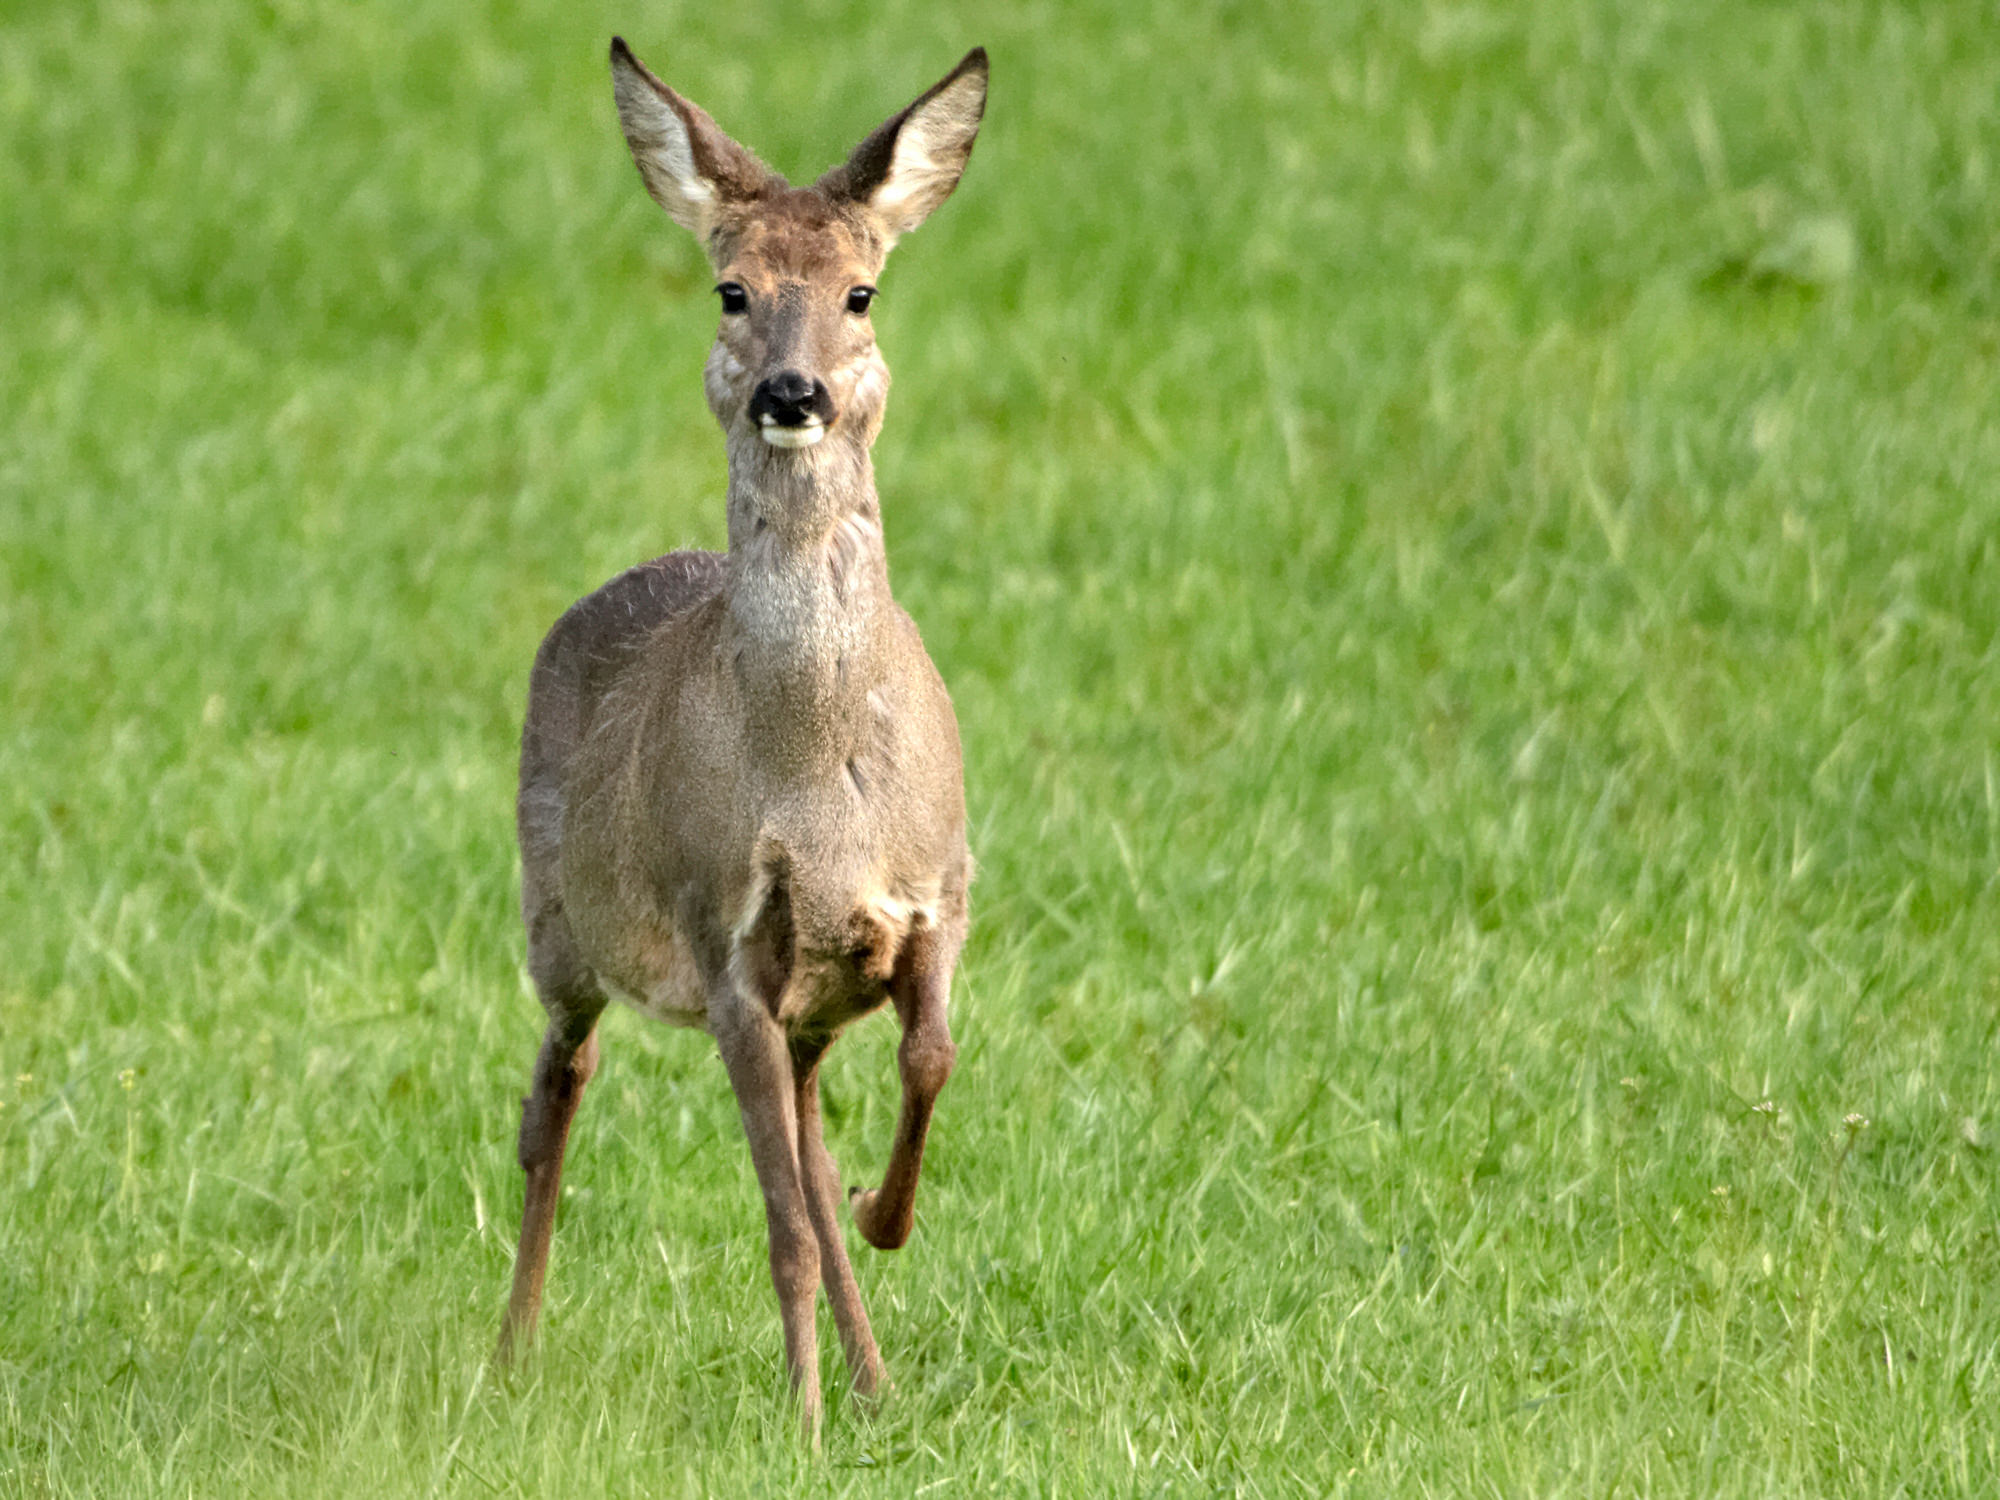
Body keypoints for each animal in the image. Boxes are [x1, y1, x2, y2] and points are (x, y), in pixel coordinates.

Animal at [493, 38, 986, 1435]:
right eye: (731, 289)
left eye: (861, 292)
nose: (791, 391)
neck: (816, 781)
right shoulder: (723, 947)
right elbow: (780, 1224)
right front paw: (803, 1419)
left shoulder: (934, 899)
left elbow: (925, 1064)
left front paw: (884, 1221)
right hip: (561, 923)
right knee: (554, 1094)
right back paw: (510, 1361)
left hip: (802, 1003)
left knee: (809, 1137)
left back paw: (877, 1374)